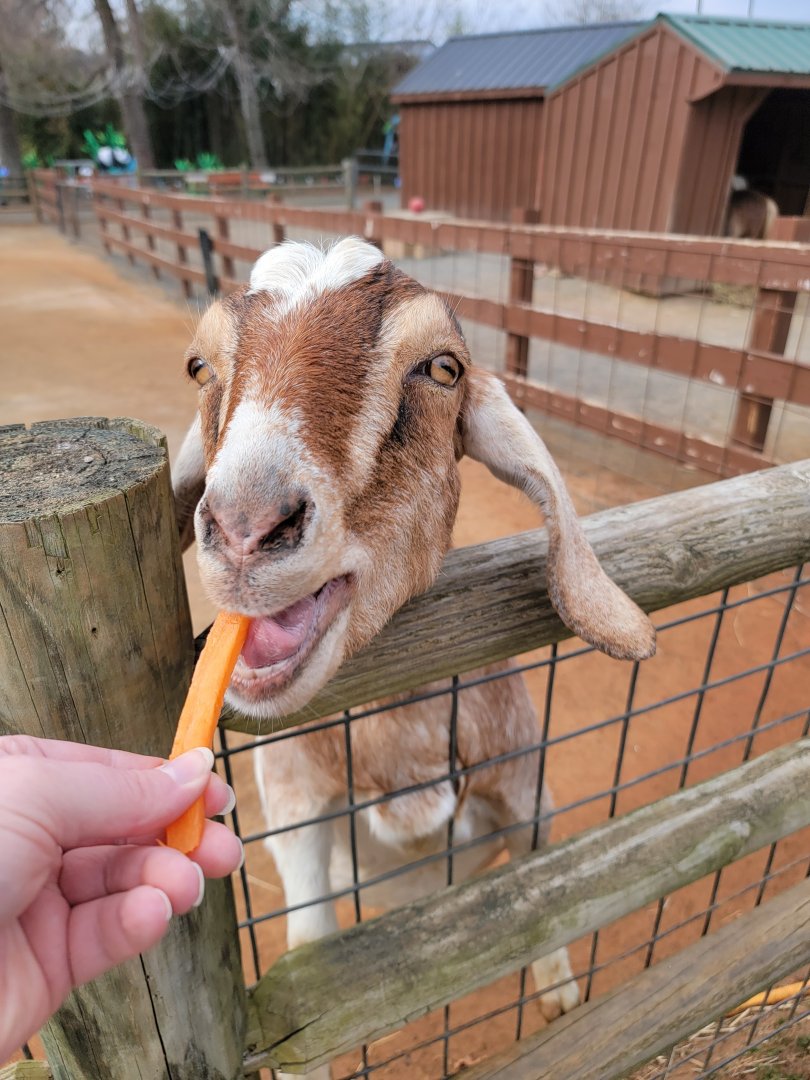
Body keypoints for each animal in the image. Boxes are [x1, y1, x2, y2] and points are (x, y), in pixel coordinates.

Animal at [172, 238, 656, 1079]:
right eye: (199, 367)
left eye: (443, 368)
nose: (245, 527)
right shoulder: (296, 806)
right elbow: (308, 944)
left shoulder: (522, 781)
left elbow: (547, 879)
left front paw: (561, 996)